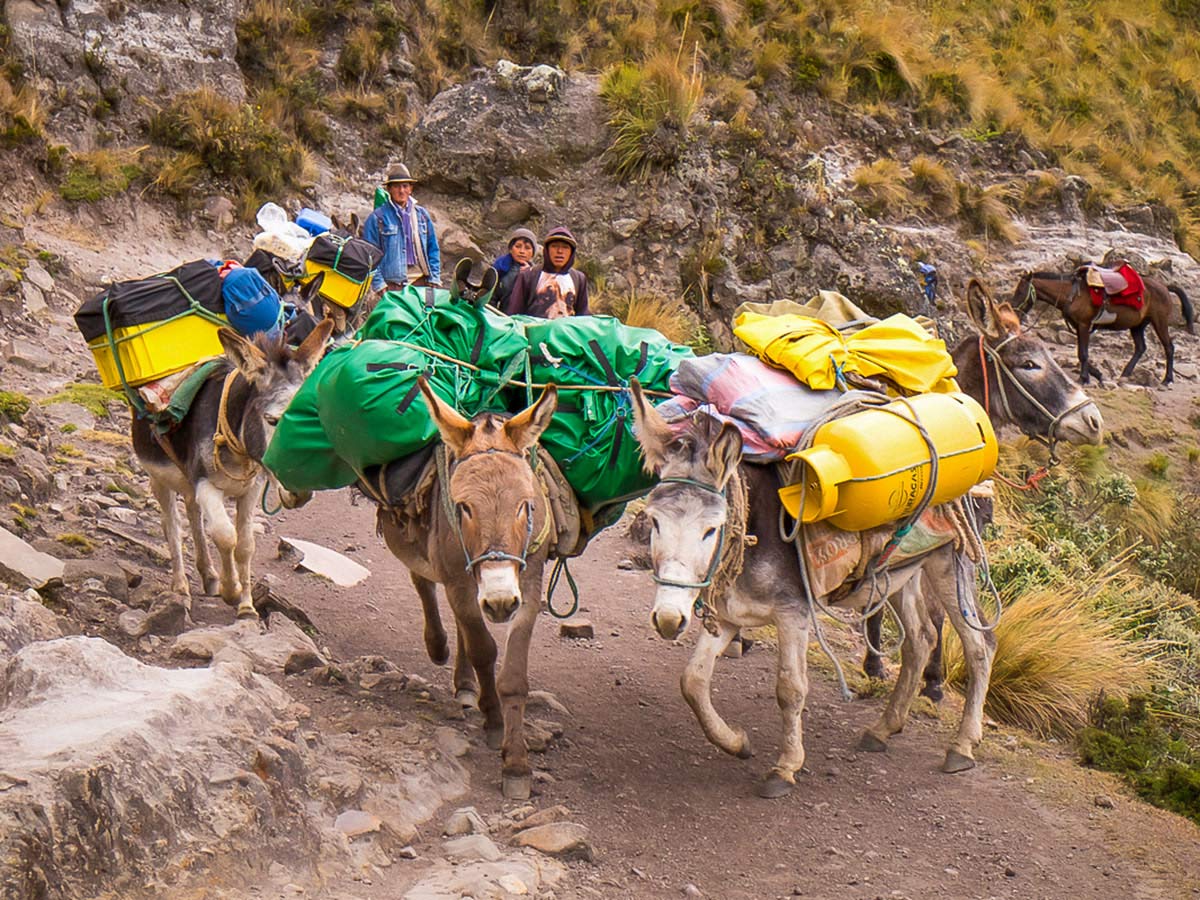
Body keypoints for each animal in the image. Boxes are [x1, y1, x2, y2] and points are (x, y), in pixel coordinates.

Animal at [130, 316, 333, 619]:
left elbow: (245, 545)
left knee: (192, 514)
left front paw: (247, 606)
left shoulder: (250, 489)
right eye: (272, 421)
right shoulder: (206, 484)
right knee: (172, 525)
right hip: (159, 477)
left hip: (187, 482)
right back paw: (181, 587)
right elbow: (226, 536)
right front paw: (231, 590)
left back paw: (209, 575)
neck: (238, 445)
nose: (301, 493)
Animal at [374, 381, 561, 801]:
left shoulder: (528, 587)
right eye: (464, 508)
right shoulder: (461, 582)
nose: (500, 601)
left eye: (526, 505)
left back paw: (463, 684)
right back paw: (442, 650)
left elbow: (514, 677)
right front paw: (493, 723)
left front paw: (517, 766)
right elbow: (482, 649)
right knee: (427, 586)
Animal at [633, 376, 998, 801]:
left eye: (710, 530)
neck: (751, 530)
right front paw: (736, 742)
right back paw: (883, 729)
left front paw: (785, 768)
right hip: (896, 571)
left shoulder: (793, 611)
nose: (668, 620)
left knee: (979, 645)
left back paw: (962, 746)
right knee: (921, 638)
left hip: (949, 560)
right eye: (654, 521)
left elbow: (790, 689)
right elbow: (692, 681)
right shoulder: (728, 613)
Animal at [864, 282, 1104, 696]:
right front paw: (888, 667)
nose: (1094, 421)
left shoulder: (959, 538)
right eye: (1029, 364)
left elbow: (940, 611)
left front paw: (933, 680)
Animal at [1012, 267, 1190, 384]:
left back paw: (1167, 379)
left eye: (1020, 291)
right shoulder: (1079, 326)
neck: (1072, 293)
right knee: (1140, 348)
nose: (1014, 311)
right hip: (1137, 325)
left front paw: (1084, 378)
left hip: (1159, 322)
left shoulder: (1084, 325)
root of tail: (1165, 287)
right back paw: (1125, 374)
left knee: (1169, 347)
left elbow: (1083, 353)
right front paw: (1096, 373)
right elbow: (1080, 352)